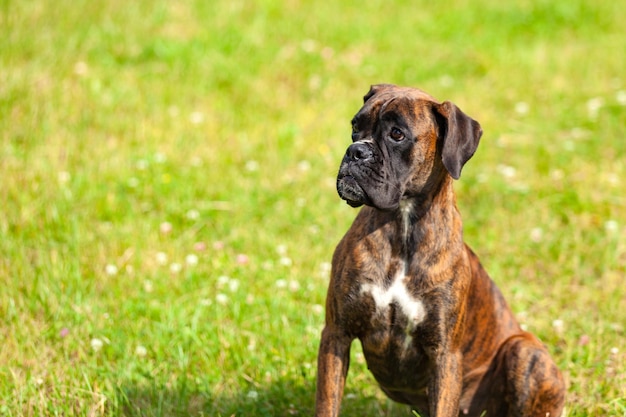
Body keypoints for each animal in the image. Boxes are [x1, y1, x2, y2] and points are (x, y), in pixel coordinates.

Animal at [314, 84, 564, 416]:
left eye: (397, 134)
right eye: (356, 126)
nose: (356, 151)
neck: (403, 225)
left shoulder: (444, 354)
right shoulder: (336, 334)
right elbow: (327, 403)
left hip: (523, 351)